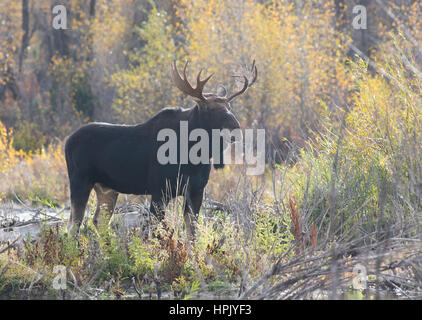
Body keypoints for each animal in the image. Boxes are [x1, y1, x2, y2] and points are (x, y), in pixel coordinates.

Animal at [65, 60, 258, 236]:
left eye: (229, 106)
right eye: (209, 108)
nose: (235, 128)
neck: (194, 156)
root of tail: (68, 141)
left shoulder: (196, 191)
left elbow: (191, 233)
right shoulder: (159, 190)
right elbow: (154, 232)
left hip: (107, 189)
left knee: (99, 221)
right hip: (79, 181)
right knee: (73, 225)